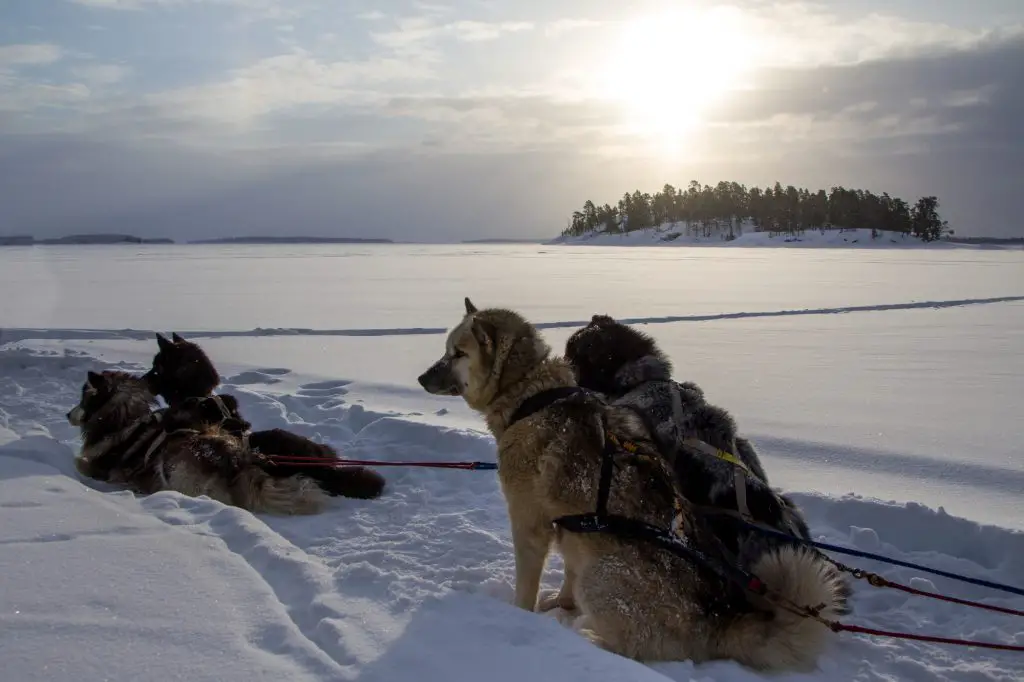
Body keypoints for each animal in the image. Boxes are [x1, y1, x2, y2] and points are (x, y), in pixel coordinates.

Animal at [67, 368, 327, 512]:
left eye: (82, 398)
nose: (67, 414)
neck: (124, 418)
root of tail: (237, 464)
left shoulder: (97, 466)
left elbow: (78, 461)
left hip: (172, 466)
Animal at [415, 299, 847, 667]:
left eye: (457, 353)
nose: (420, 377)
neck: (530, 393)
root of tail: (717, 619)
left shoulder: (531, 527)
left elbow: (526, 589)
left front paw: (523, 616)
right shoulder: (572, 528)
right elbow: (567, 576)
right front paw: (560, 605)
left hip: (602, 573)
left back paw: (588, 639)